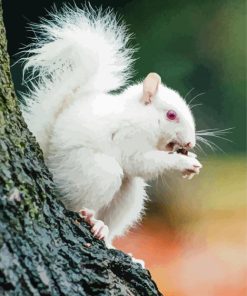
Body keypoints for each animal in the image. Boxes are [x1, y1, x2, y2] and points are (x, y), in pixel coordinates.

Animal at [21, 4, 203, 260]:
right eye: (171, 115)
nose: (190, 144)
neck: (142, 118)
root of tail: (48, 159)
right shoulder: (128, 138)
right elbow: (139, 162)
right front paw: (183, 163)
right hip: (92, 171)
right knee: (75, 202)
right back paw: (89, 217)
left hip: (129, 194)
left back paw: (106, 235)